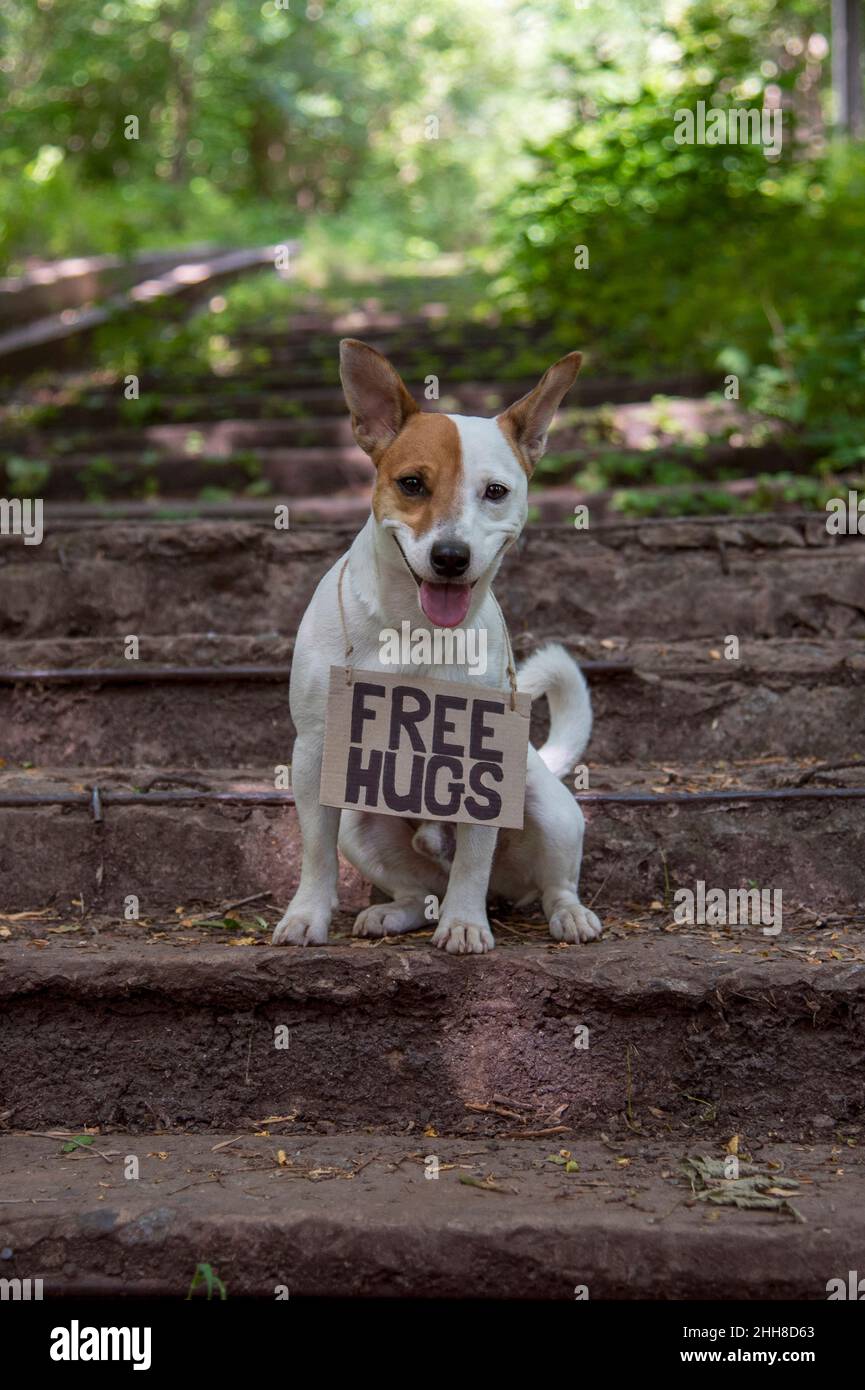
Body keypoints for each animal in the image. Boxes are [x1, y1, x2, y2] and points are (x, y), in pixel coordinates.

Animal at [273, 336, 606, 956]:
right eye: (411, 484)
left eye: (495, 492)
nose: (451, 557)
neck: (414, 629)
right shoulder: (314, 753)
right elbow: (314, 853)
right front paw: (307, 915)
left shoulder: (484, 763)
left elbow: (474, 856)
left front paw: (466, 924)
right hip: (362, 827)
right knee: (416, 893)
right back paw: (393, 913)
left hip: (551, 813)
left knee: (549, 884)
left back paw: (565, 914)